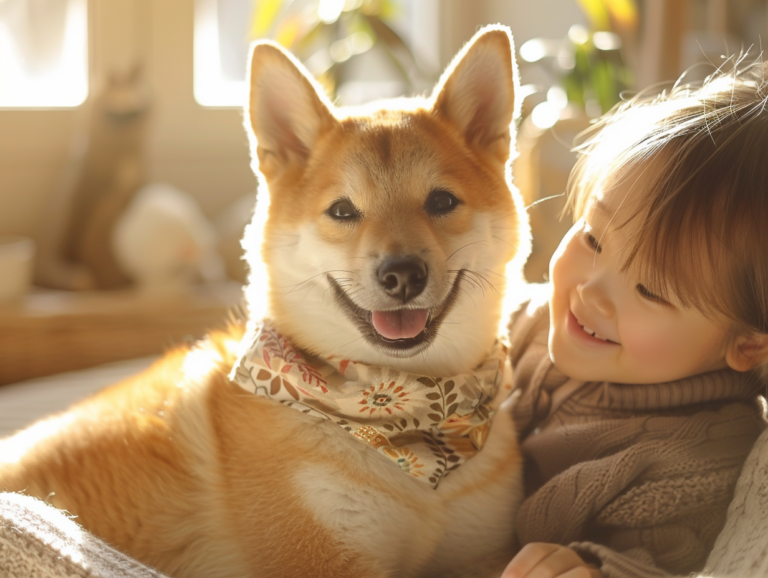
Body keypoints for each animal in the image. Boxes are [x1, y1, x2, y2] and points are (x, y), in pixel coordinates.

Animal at [0, 24, 528, 576]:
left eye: (442, 201)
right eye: (343, 211)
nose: (402, 274)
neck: (400, 417)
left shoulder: (484, 551)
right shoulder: (324, 559)